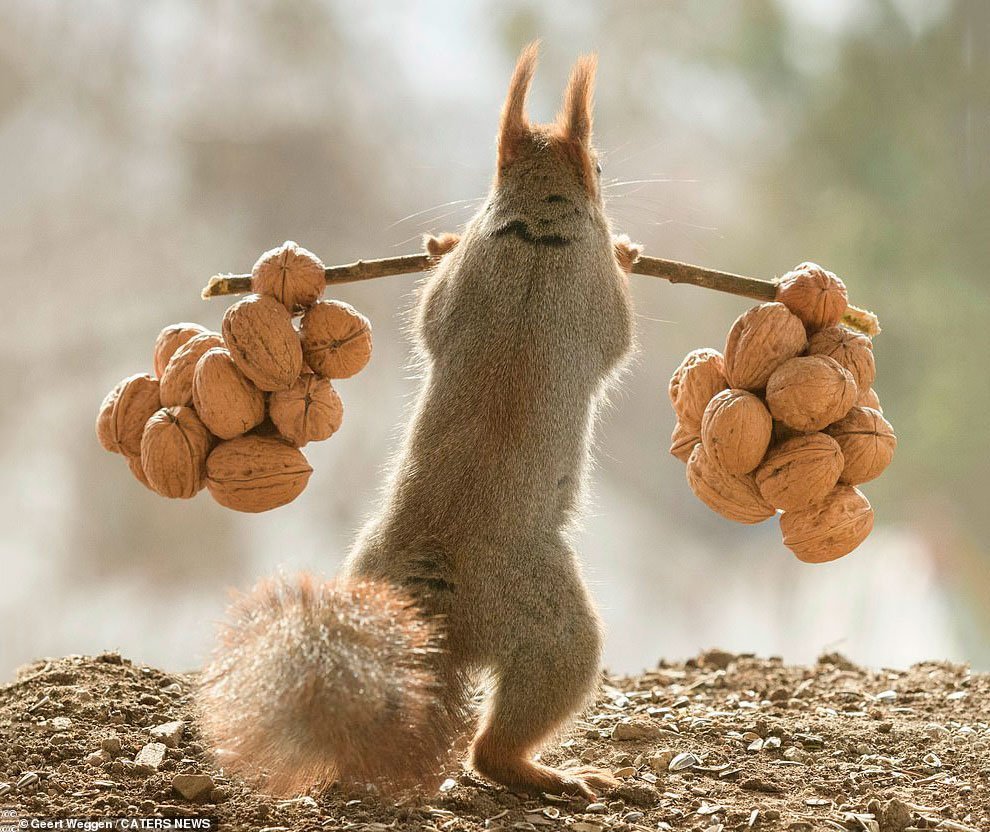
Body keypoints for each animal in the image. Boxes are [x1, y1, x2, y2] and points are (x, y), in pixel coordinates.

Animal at [197, 43, 642, 800]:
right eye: (603, 167)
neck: (535, 227)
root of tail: (441, 601)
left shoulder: (460, 286)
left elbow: (431, 311)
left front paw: (438, 243)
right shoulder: (593, 294)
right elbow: (621, 332)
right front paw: (631, 253)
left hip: (369, 574)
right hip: (558, 632)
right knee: (499, 742)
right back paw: (549, 773)